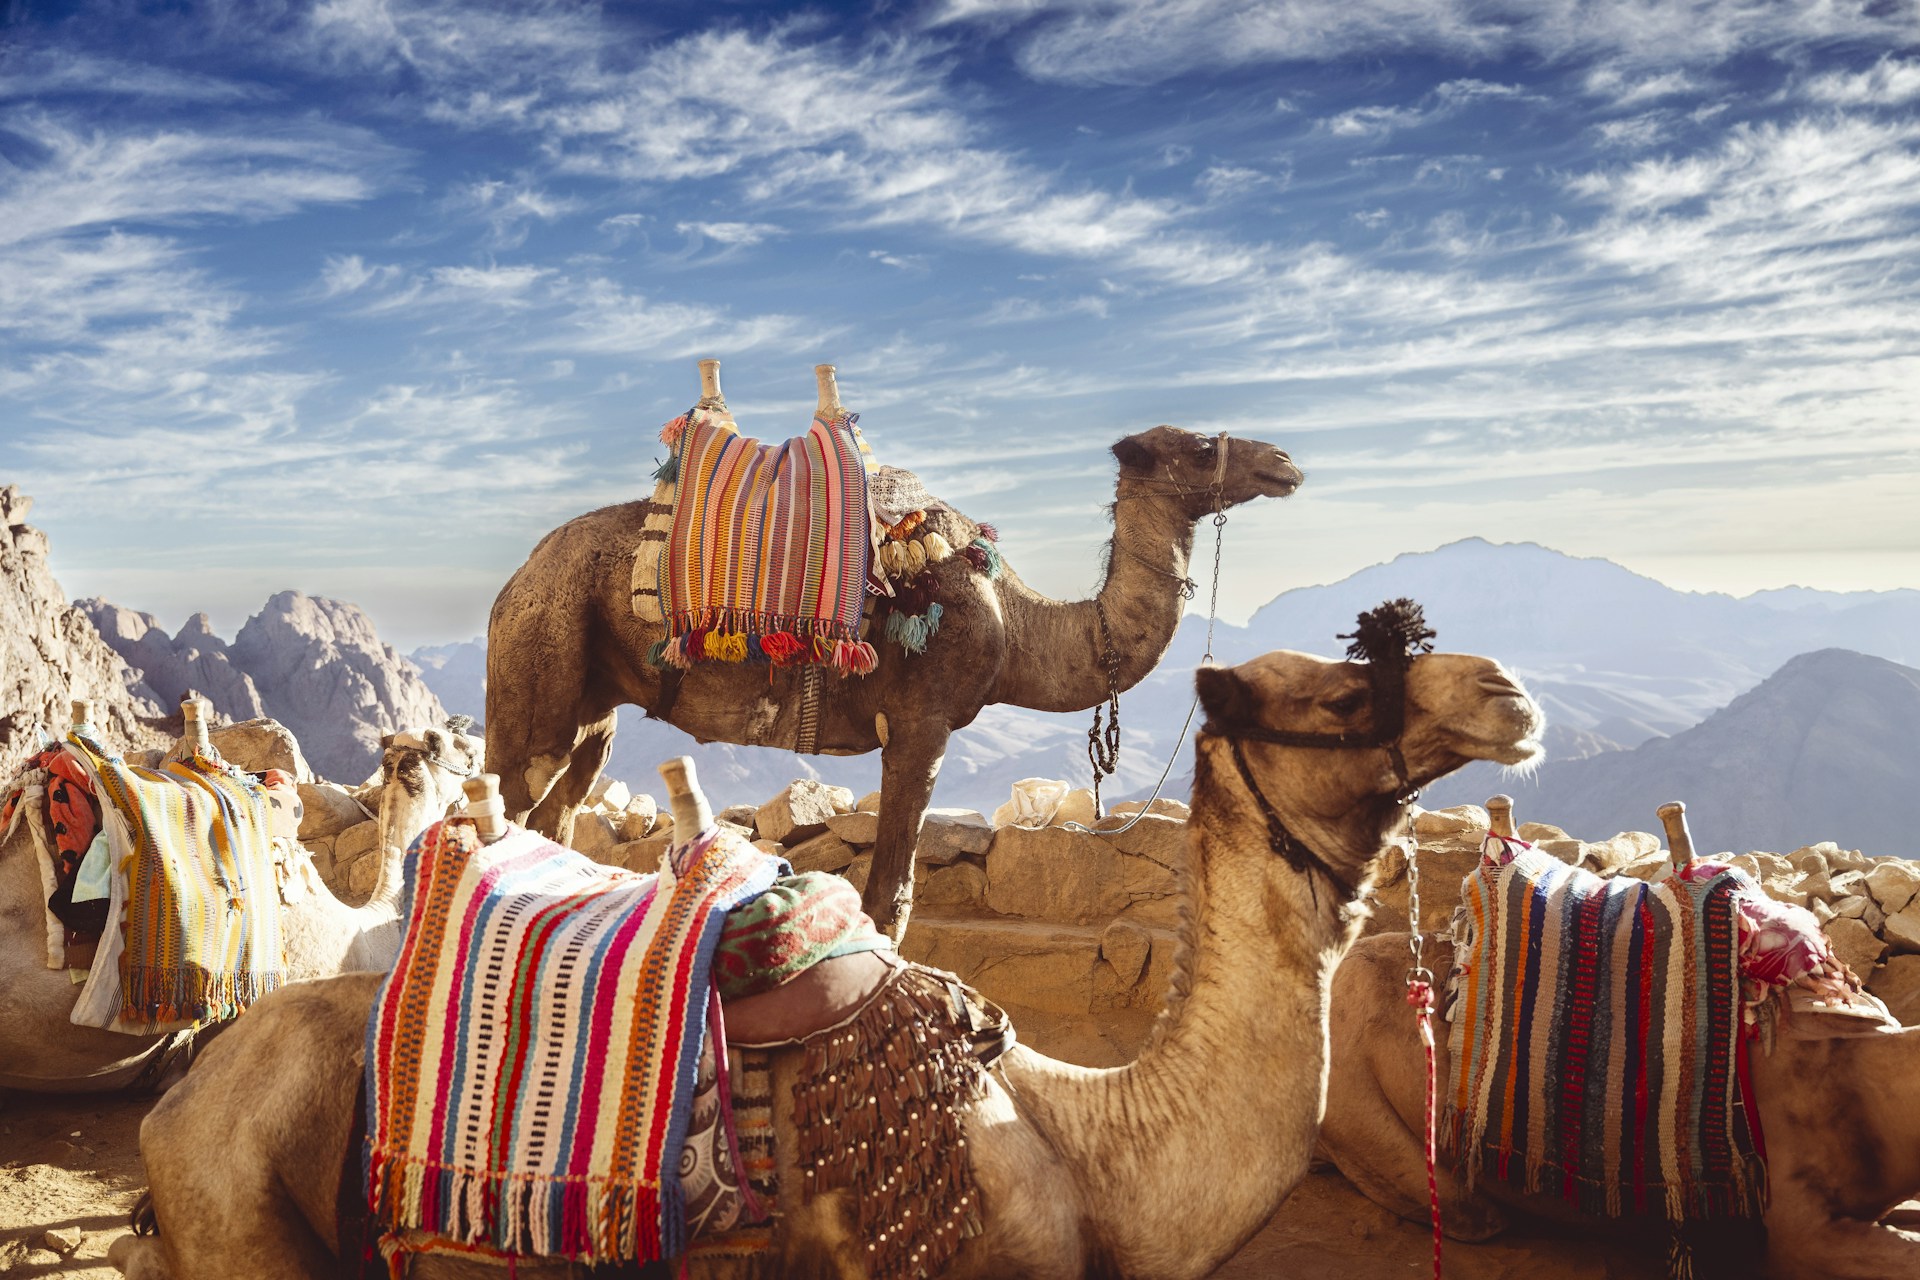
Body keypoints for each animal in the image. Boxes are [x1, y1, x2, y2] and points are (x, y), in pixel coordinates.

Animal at [483, 361, 1304, 940]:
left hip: (593, 703)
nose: (1285, 461)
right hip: (537, 662)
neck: (1016, 624)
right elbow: (889, 897)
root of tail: (514, 581)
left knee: (559, 811)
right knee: (502, 804)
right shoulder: (922, 723)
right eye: (1201, 447)